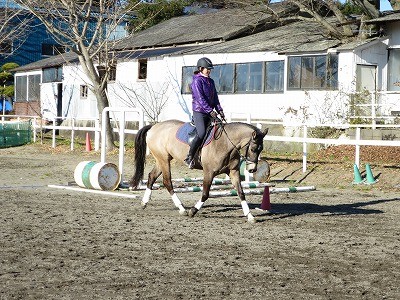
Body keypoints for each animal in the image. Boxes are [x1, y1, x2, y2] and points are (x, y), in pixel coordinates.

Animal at [130, 119, 268, 223]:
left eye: (261, 149)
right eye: (253, 149)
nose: (252, 169)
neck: (226, 144)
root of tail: (154, 126)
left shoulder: (233, 172)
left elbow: (241, 193)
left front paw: (250, 216)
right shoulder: (209, 172)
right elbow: (205, 194)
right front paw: (193, 211)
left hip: (162, 160)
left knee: (151, 177)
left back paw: (144, 202)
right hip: (163, 160)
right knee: (167, 181)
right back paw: (182, 208)